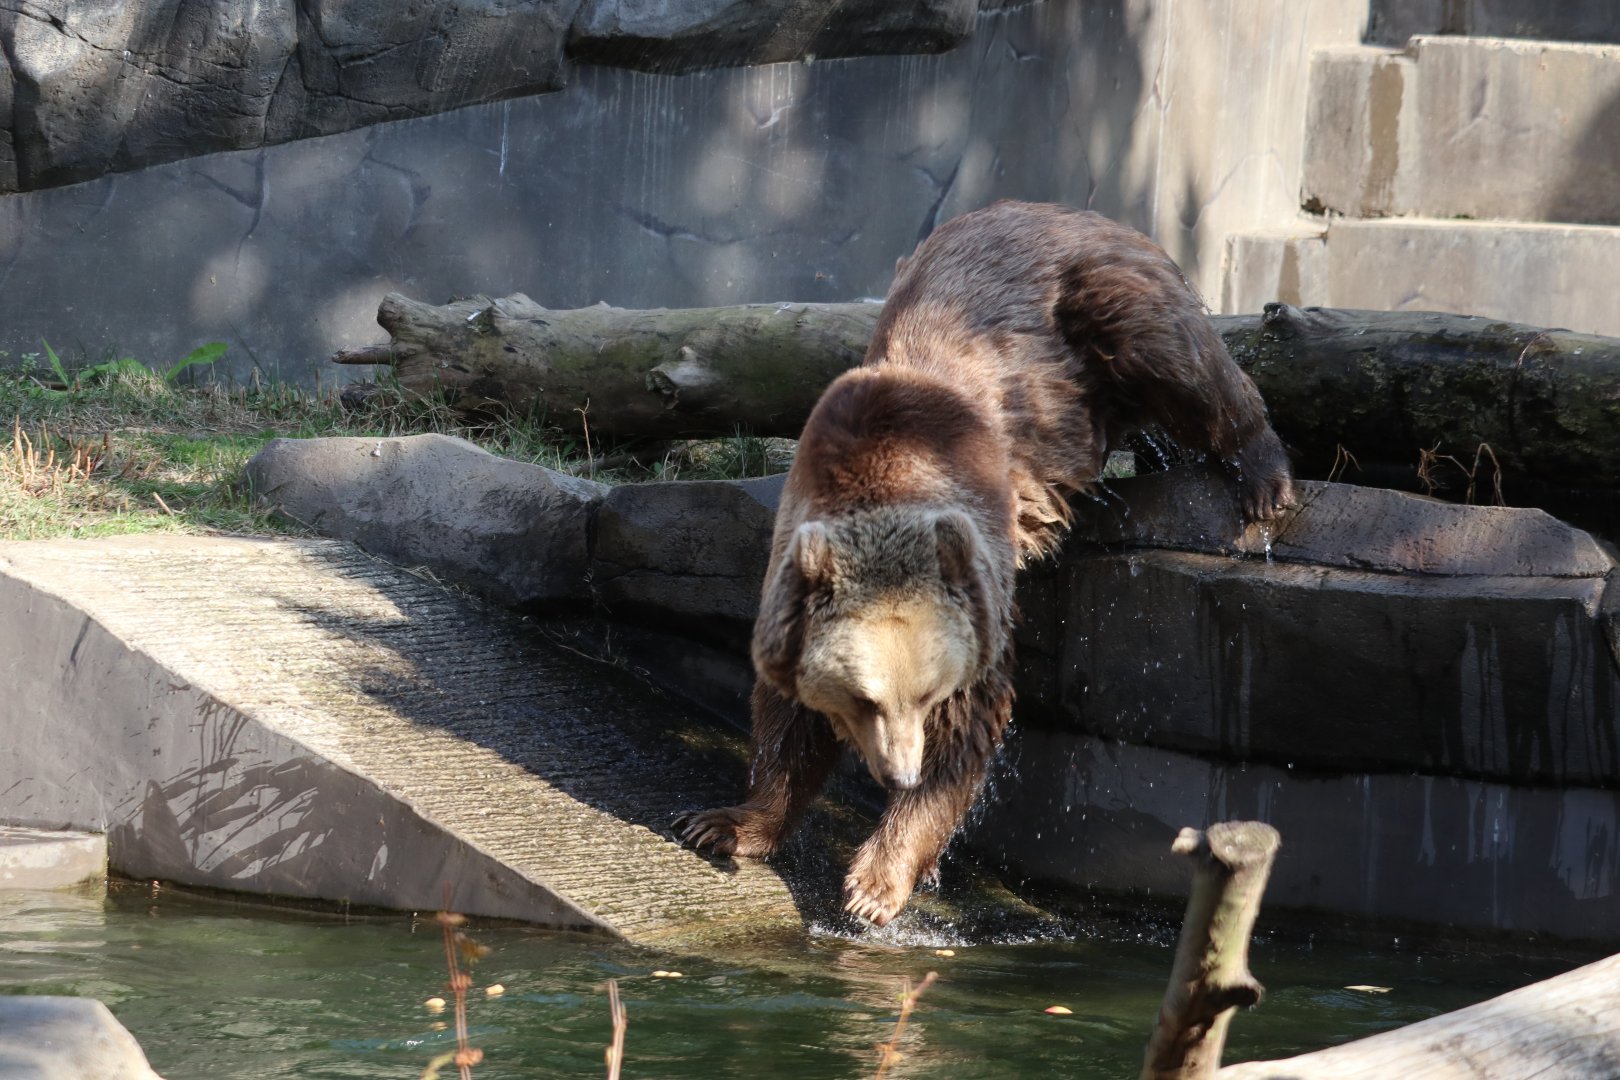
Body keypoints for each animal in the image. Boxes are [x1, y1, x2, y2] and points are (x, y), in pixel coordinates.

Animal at [675, 200, 1294, 926]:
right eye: (864, 697)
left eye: (923, 693)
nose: (900, 771)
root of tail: (1070, 209)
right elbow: (786, 719)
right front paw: (725, 823)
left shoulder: (973, 574)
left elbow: (971, 720)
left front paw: (874, 883)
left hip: (1098, 301)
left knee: (1180, 361)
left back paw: (1262, 481)